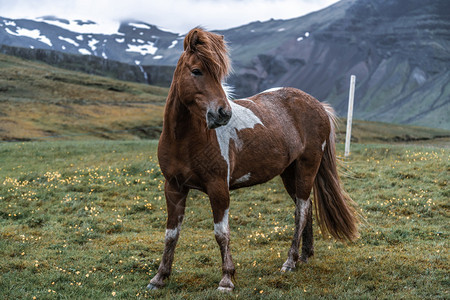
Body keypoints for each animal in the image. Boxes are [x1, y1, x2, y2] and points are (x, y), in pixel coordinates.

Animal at [149, 27, 360, 290]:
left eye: (220, 74)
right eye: (196, 71)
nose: (223, 113)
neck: (185, 139)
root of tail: (318, 105)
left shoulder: (218, 188)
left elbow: (221, 233)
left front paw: (227, 279)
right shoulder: (173, 187)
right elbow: (171, 234)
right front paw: (159, 277)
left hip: (307, 167)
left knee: (301, 211)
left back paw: (290, 261)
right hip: (289, 173)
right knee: (308, 207)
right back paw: (304, 256)